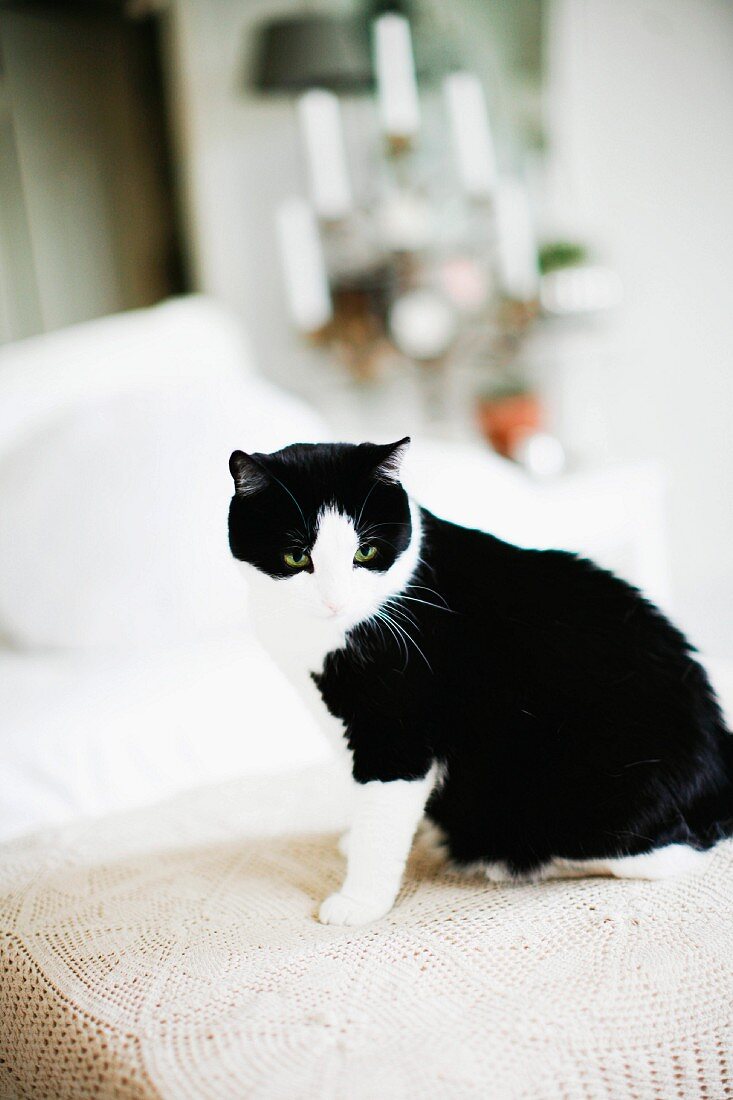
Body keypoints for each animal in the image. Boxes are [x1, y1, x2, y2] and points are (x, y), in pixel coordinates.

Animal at [226, 437, 730, 928]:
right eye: (296, 556)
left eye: (364, 552)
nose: (335, 601)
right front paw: (361, 836)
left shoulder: (397, 734)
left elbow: (383, 817)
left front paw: (360, 902)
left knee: (666, 854)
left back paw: (501, 858)